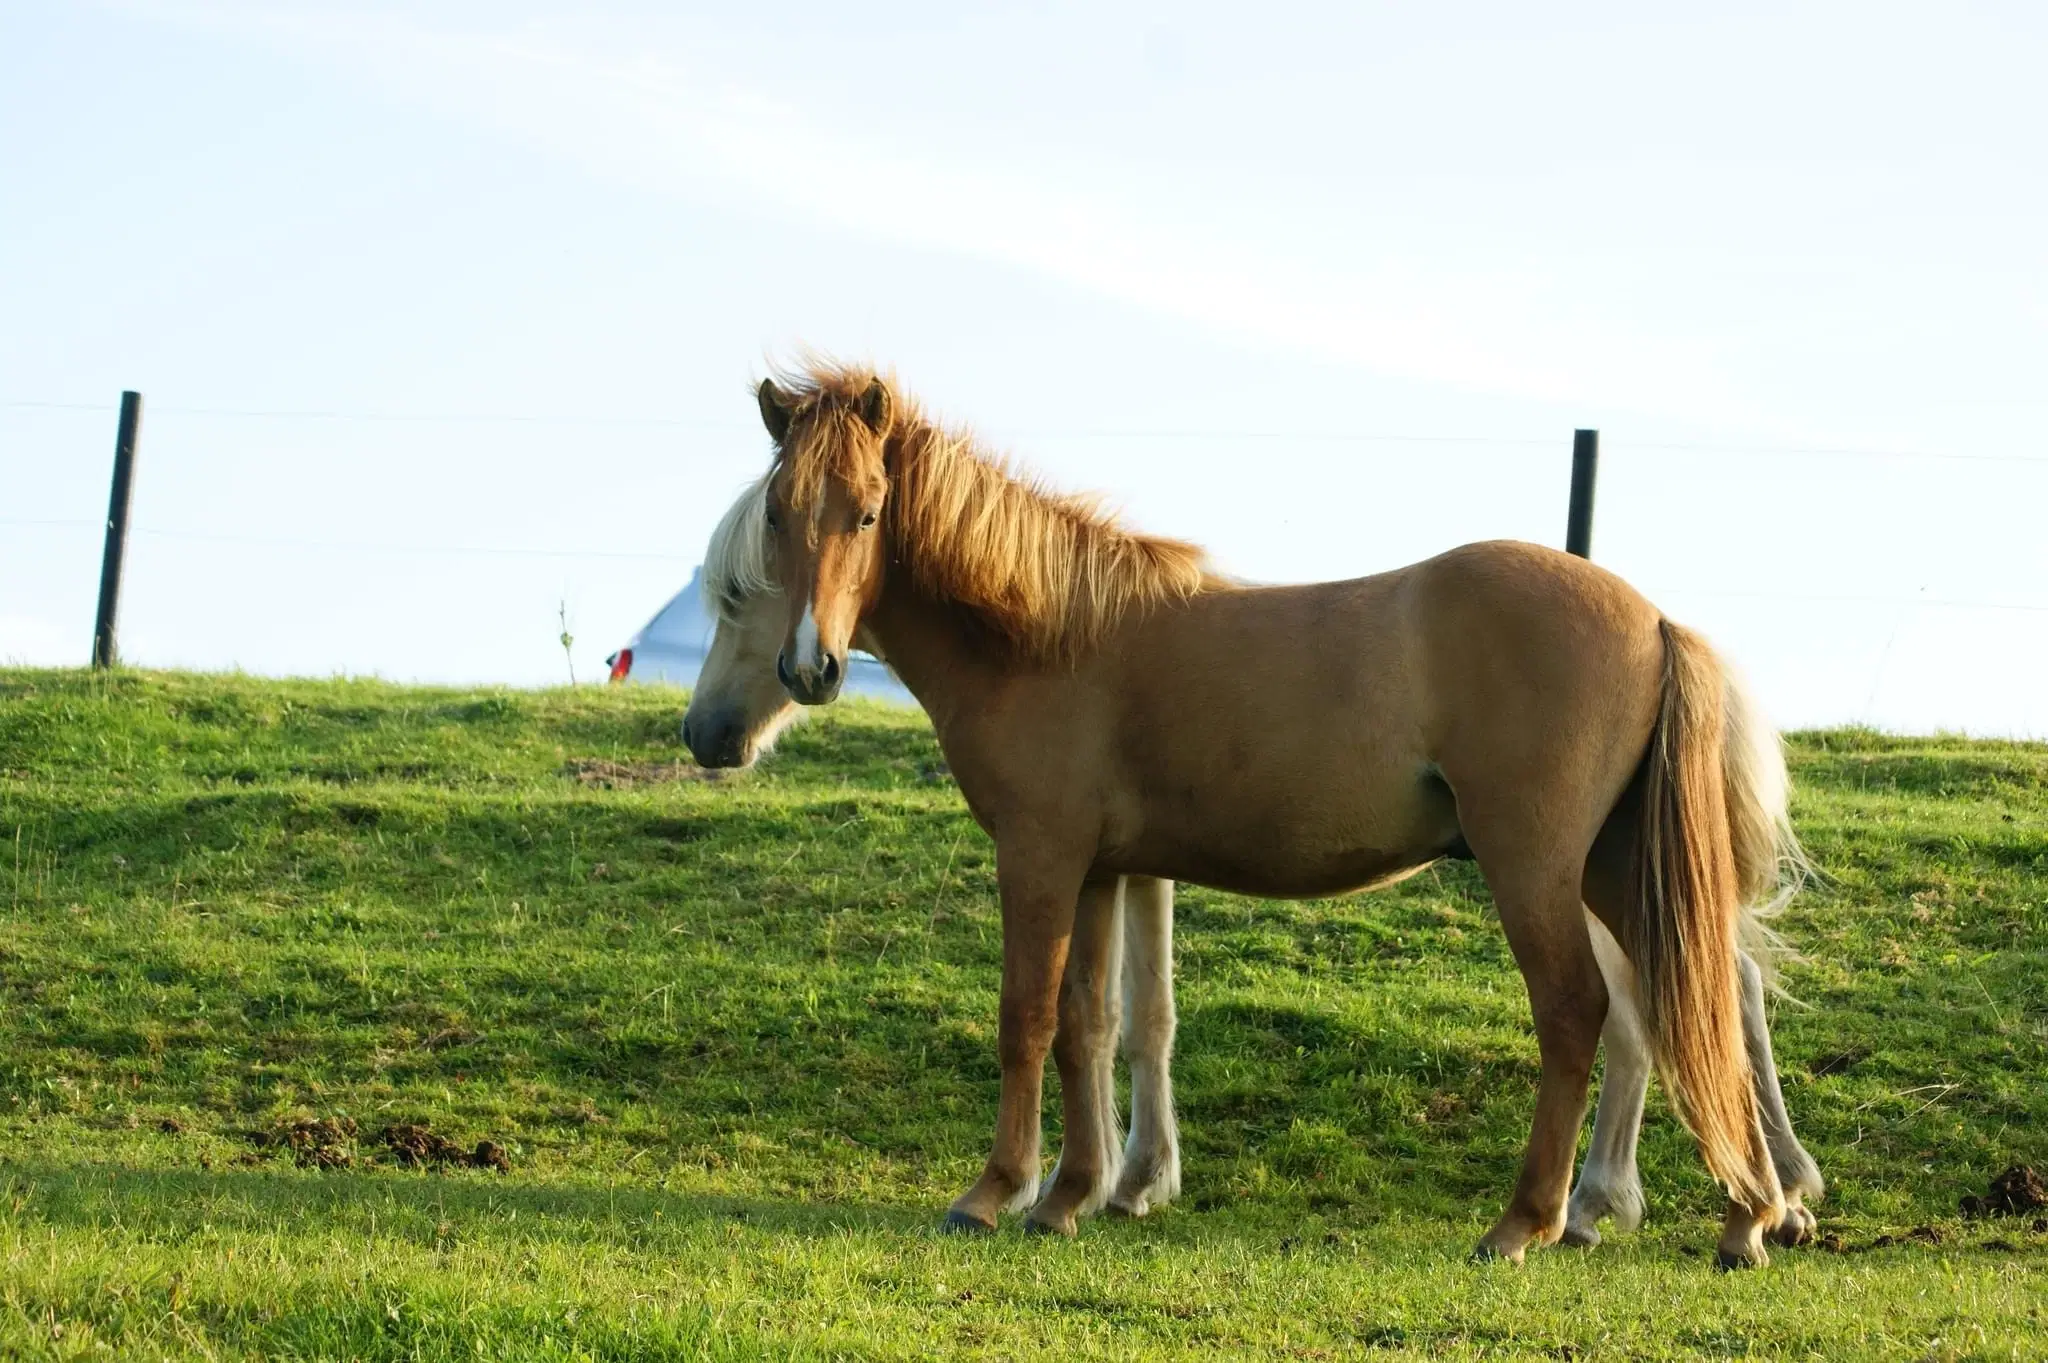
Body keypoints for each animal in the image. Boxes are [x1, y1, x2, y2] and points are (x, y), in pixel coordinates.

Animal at [749, 364, 1810, 1260]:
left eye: (869, 512)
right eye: (776, 515)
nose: (811, 666)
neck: (1050, 633)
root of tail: (1654, 617)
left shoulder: (1039, 855)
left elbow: (1027, 1014)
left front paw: (994, 1191)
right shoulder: (1097, 868)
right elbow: (1090, 1022)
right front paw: (1070, 1195)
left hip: (1538, 868)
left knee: (1579, 1010)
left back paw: (1529, 1220)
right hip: (1615, 869)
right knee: (1702, 1001)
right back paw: (1749, 1216)